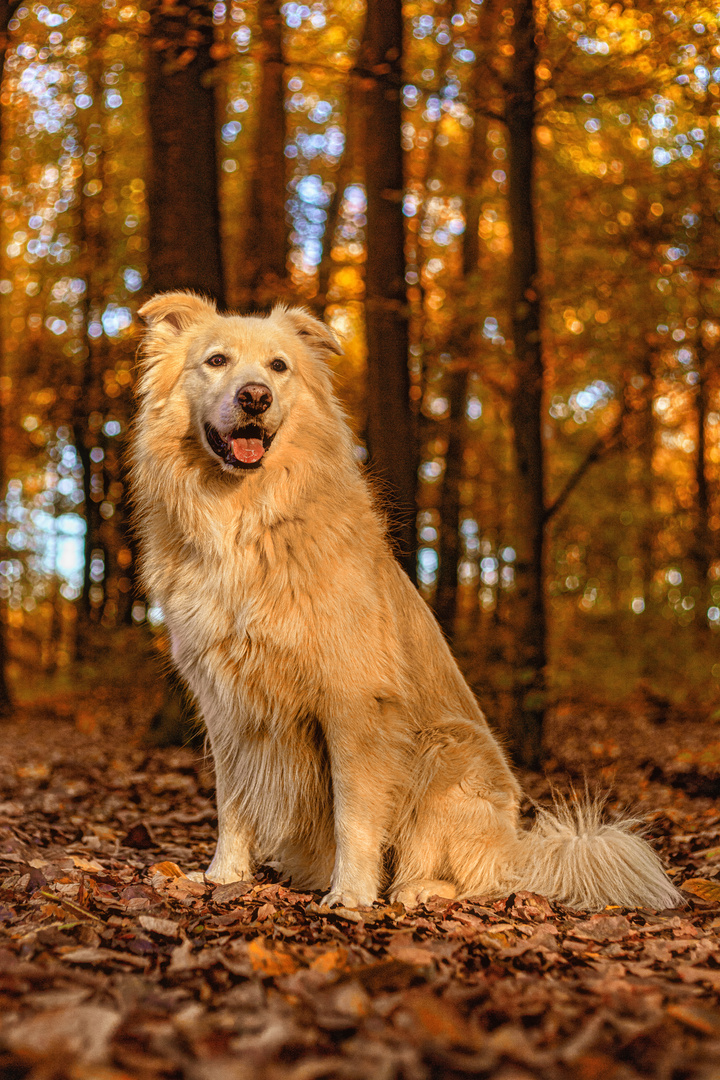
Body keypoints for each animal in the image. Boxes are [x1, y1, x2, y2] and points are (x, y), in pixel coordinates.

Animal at [131, 293, 682, 911]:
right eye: (217, 360)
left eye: (279, 367)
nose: (255, 397)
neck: (248, 518)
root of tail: (519, 847)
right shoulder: (225, 702)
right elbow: (232, 801)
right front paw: (224, 874)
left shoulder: (353, 702)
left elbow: (353, 811)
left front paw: (350, 894)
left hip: (447, 749)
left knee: (485, 879)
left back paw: (416, 889)